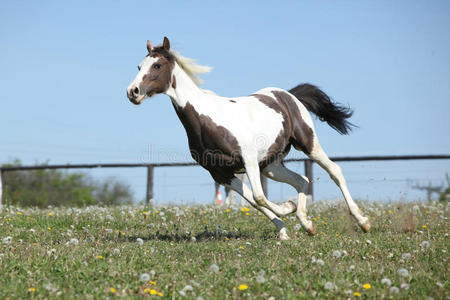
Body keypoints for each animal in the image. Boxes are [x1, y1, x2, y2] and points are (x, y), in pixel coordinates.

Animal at [125, 37, 370, 239]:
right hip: (271, 166)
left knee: (335, 171)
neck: (207, 120)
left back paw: (363, 221)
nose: (132, 92)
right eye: (138, 66)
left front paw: (287, 208)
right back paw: (306, 223)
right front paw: (284, 228)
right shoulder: (220, 172)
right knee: (302, 180)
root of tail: (289, 95)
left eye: (157, 65)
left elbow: (259, 197)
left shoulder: (248, 160)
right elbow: (253, 201)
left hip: (307, 144)